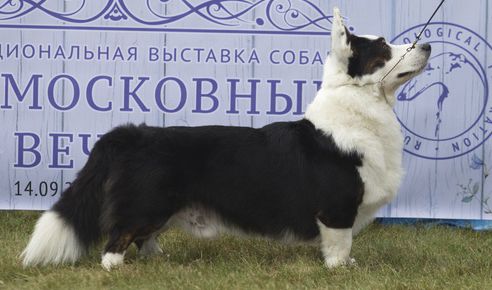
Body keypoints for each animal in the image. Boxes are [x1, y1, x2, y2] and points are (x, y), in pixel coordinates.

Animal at [22, 7, 430, 270]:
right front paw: (341, 269)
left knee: (142, 237)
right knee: (118, 238)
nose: (426, 45)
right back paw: (116, 269)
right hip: (147, 202)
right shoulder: (337, 208)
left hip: (161, 208)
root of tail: (133, 135)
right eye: (384, 49)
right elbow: (339, 244)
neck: (360, 107)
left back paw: (158, 259)